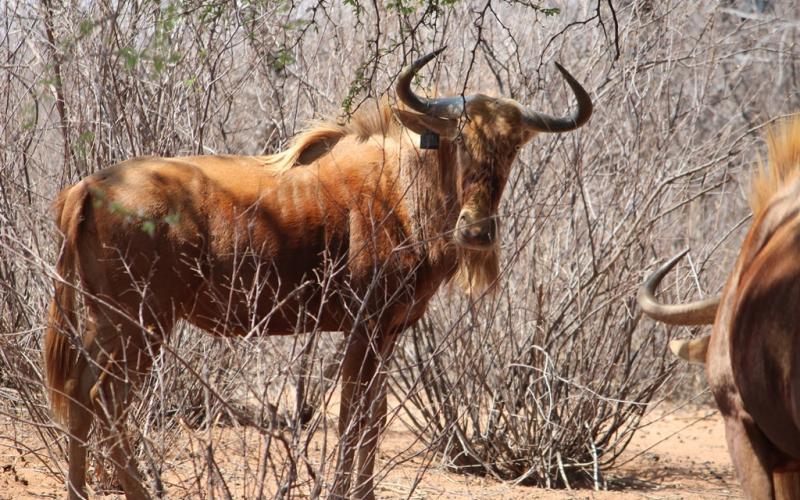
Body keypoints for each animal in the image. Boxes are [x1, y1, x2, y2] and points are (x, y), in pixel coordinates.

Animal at [45, 49, 592, 500]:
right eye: (459, 139)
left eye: (513, 146)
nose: (477, 232)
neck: (401, 188)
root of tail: (89, 187)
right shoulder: (366, 327)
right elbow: (355, 415)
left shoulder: (388, 332)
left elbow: (373, 415)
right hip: (140, 324)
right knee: (104, 398)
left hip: (109, 322)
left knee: (77, 391)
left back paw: (78, 492)